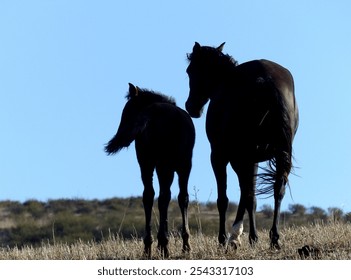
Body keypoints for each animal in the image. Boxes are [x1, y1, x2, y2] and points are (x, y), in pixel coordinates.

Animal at [106, 82, 197, 258]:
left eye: (127, 111)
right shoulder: (184, 165)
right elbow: (182, 198)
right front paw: (186, 245)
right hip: (165, 165)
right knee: (163, 197)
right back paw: (163, 244)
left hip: (145, 162)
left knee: (148, 195)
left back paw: (148, 246)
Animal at [186, 42, 298, 248]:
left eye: (190, 71)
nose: (191, 107)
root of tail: (267, 81)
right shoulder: (251, 159)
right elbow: (250, 196)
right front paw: (248, 237)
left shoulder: (221, 157)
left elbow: (225, 198)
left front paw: (226, 238)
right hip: (279, 153)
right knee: (278, 188)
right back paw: (274, 237)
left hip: (240, 155)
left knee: (247, 192)